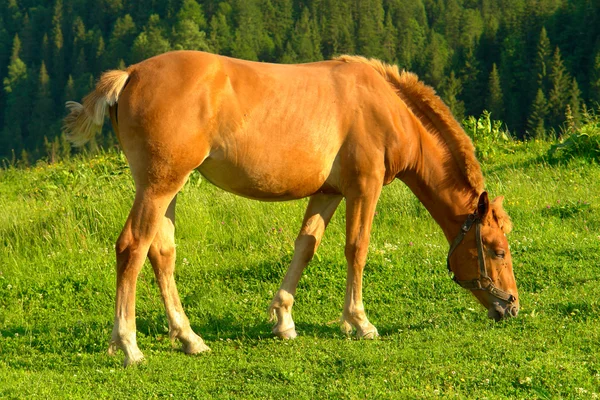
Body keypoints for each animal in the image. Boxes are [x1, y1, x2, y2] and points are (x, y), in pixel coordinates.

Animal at [62, 50, 520, 366]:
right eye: (497, 250)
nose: (511, 306)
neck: (386, 108)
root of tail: (130, 75)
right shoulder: (364, 188)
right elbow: (357, 249)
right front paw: (359, 321)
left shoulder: (328, 192)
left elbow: (306, 246)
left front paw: (283, 319)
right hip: (158, 187)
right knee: (132, 248)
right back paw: (128, 345)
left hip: (166, 189)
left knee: (162, 253)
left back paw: (189, 338)